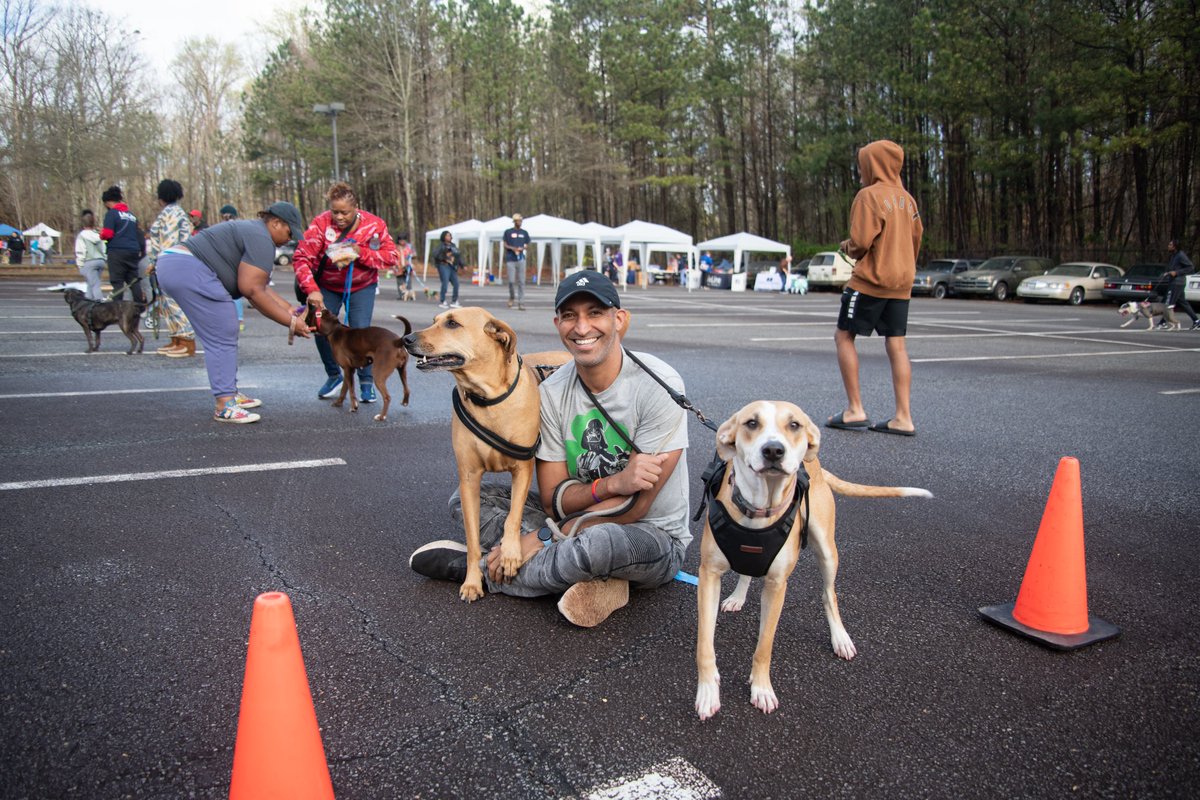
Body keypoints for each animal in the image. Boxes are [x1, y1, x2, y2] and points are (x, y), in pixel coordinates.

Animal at [696, 400, 936, 719]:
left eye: (794, 425)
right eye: (751, 423)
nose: (774, 450)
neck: (758, 509)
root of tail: (815, 464)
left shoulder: (777, 586)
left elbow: (764, 646)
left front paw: (761, 688)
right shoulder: (708, 576)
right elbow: (705, 645)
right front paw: (708, 691)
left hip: (827, 550)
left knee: (828, 594)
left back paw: (840, 638)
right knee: (747, 571)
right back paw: (737, 596)